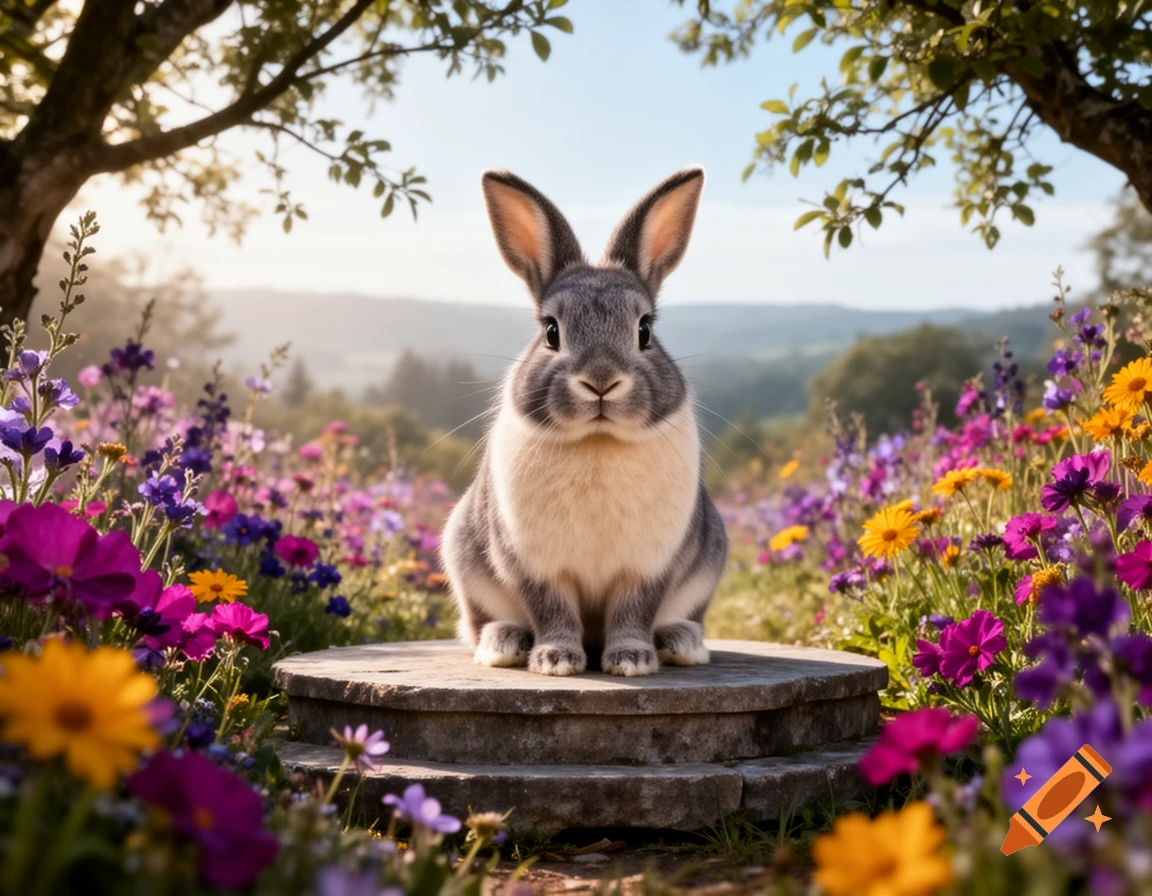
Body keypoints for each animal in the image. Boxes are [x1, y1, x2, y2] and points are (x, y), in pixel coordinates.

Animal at [439, 166, 728, 677]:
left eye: (645, 330)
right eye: (551, 331)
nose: (600, 381)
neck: (598, 439)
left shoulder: (649, 566)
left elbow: (634, 611)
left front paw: (631, 661)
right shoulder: (534, 565)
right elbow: (551, 609)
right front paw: (556, 661)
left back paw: (682, 643)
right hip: (465, 561)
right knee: (478, 625)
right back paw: (504, 643)